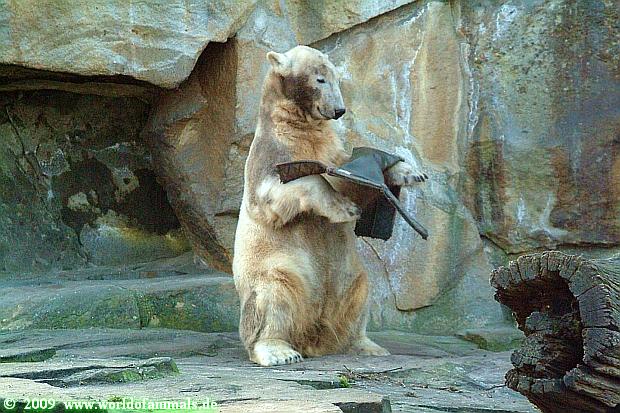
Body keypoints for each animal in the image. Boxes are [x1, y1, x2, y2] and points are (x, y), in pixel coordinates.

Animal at [232, 45, 427, 366]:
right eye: (320, 79)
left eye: (337, 78)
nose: (339, 110)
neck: (297, 127)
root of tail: (313, 336)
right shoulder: (270, 155)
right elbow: (279, 193)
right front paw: (344, 208)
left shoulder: (331, 149)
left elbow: (349, 176)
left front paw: (408, 172)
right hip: (277, 268)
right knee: (274, 296)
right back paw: (279, 351)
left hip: (348, 276)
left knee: (359, 293)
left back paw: (364, 345)